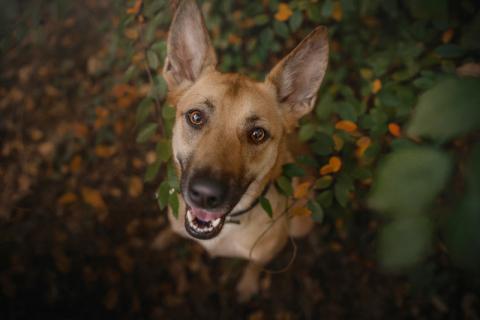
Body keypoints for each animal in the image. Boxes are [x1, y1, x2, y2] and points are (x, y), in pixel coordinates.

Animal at [159, 0, 328, 302]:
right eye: (196, 117)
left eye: (257, 134)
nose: (205, 195)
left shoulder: (263, 254)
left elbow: (254, 267)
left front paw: (247, 286)